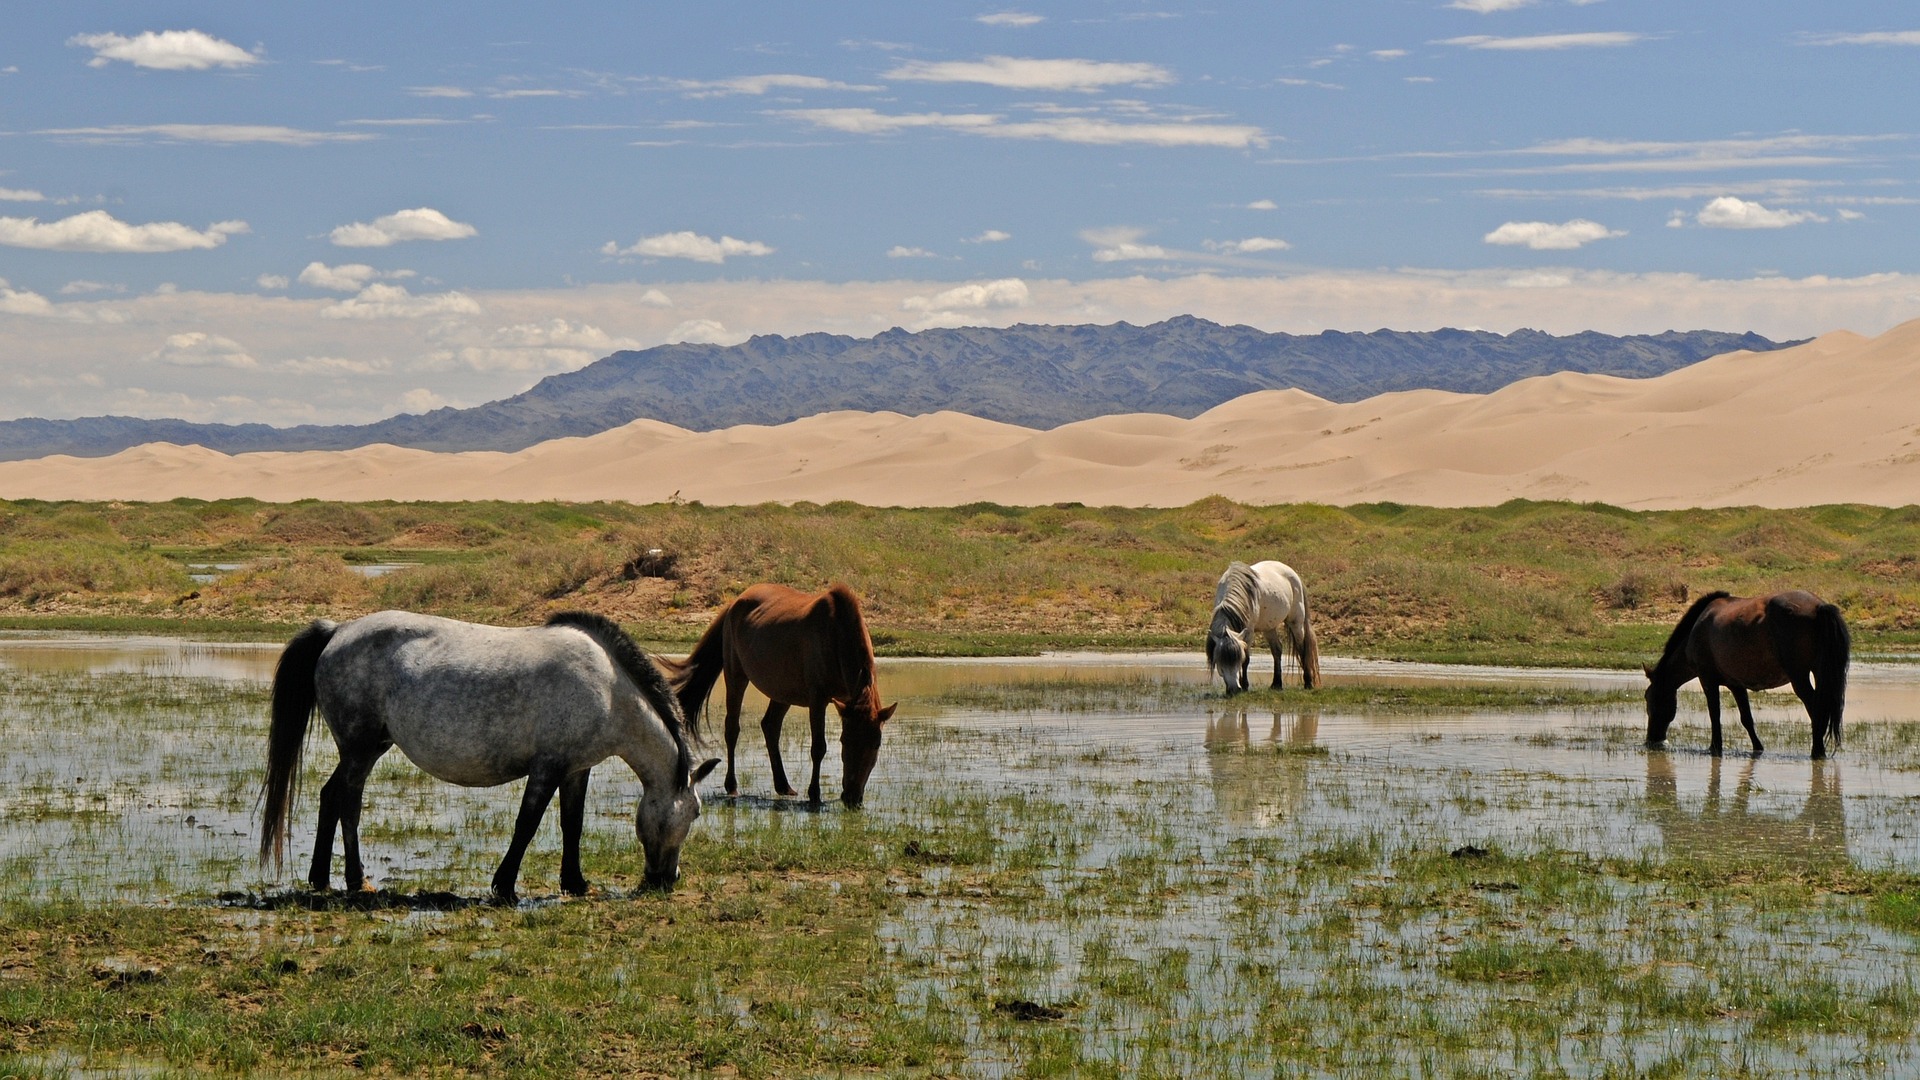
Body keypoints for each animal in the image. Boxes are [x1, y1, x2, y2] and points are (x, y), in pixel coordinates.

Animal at [263, 611, 721, 895]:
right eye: (696, 813)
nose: (668, 878)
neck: (607, 687)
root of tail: (337, 630)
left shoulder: (576, 769)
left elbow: (571, 824)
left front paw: (575, 883)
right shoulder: (547, 768)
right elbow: (527, 824)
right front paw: (504, 886)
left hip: (369, 748)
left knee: (330, 797)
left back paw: (320, 878)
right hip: (359, 751)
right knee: (348, 803)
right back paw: (356, 881)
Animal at [664, 584, 894, 803]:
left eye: (876, 744)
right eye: (844, 741)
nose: (852, 798)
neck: (836, 635)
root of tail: (735, 602)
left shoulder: (844, 700)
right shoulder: (818, 699)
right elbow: (818, 747)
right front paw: (814, 794)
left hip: (782, 691)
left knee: (770, 726)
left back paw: (783, 785)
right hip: (736, 676)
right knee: (732, 729)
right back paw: (732, 786)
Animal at [1205, 557, 1328, 691]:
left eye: (1238, 659)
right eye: (1220, 661)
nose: (1234, 689)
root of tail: (1294, 574)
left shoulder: (1249, 631)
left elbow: (1246, 659)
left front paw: (1245, 685)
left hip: (1296, 622)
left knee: (1302, 649)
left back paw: (1308, 683)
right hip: (1269, 628)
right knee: (1277, 650)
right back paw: (1276, 684)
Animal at [1643, 588, 1850, 757]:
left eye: (1648, 698)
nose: (1652, 740)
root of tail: (1819, 606)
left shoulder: (1707, 680)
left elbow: (1714, 715)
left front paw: (1714, 747)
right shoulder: (1736, 684)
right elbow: (1747, 719)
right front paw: (1758, 748)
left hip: (1799, 677)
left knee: (1816, 708)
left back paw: (1817, 751)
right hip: (1820, 672)